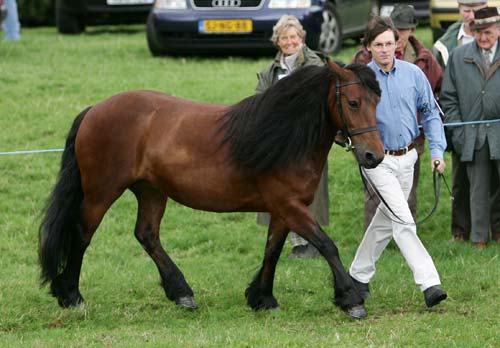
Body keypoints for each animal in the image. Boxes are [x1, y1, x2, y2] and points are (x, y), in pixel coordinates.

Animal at [39, 60, 382, 318]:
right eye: (353, 103)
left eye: (377, 101)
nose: (373, 156)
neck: (284, 136)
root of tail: (94, 110)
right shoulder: (289, 206)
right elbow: (327, 245)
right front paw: (350, 298)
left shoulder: (284, 209)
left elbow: (272, 250)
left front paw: (262, 297)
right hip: (101, 192)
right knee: (83, 233)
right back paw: (71, 294)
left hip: (151, 191)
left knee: (147, 235)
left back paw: (181, 292)